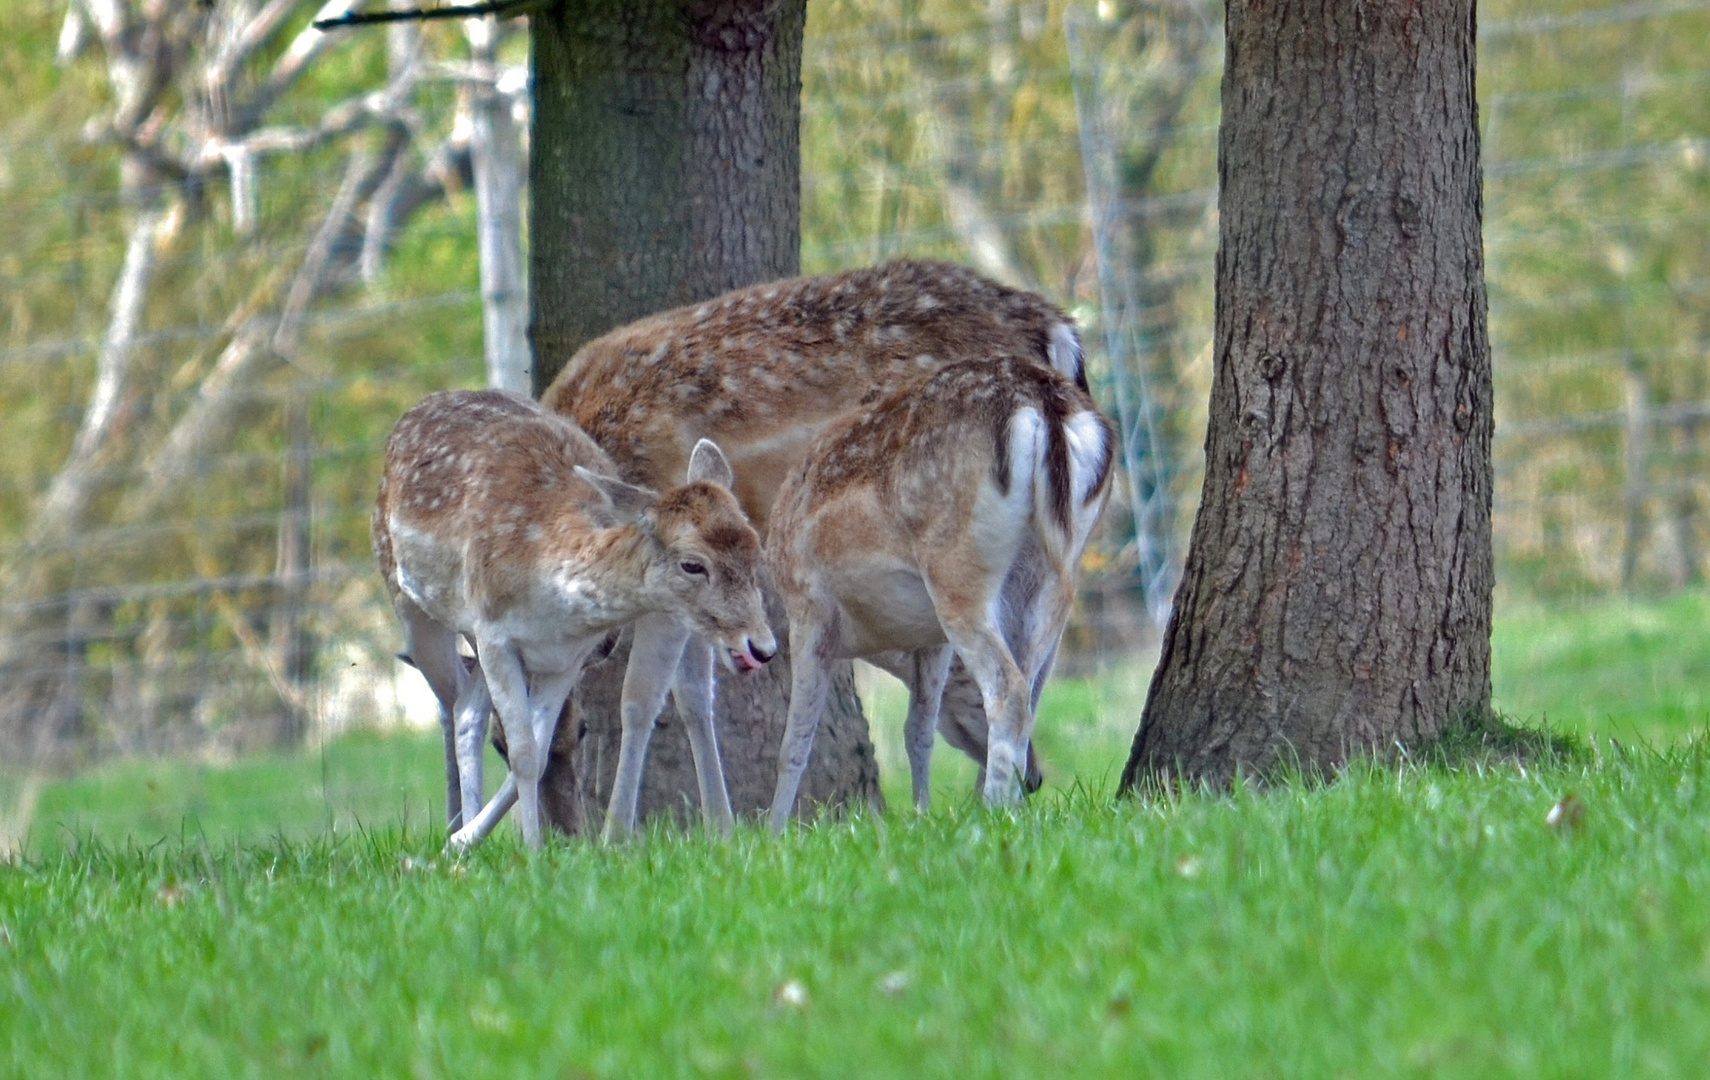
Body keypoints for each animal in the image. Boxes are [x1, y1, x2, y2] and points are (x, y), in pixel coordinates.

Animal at [377, 393, 779, 847]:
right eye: (692, 564)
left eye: (755, 548)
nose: (762, 646)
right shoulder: (495, 633)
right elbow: (523, 751)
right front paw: (533, 850)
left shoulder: (565, 657)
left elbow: (538, 744)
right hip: (409, 600)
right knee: (454, 707)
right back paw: (457, 833)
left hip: (477, 640)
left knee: (466, 709)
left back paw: (462, 839)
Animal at [540, 259, 1080, 810]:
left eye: (577, 735)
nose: (1039, 777)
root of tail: (1058, 329)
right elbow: (693, 694)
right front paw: (720, 822)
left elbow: (643, 697)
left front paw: (623, 826)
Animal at [769, 353, 1114, 827]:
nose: (1037, 779)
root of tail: (1045, 405)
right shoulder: (931, 640)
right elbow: (918, 728)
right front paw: (922, 813)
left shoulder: (807, 607)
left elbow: (794, 741)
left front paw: (772, 829)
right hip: (1053, 574)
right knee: (1031, 686)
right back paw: (1010, 807)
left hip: (957, 571)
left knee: (1008, 688)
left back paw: (993, 810)